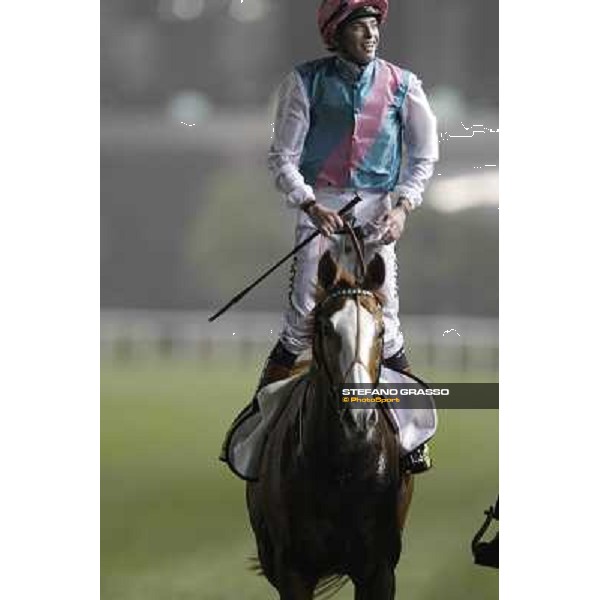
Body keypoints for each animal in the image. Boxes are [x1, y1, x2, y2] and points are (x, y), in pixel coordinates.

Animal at [245, 251, 408, 596]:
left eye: (380, 332)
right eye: (327, 328)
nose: (358, 415)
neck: (342, 468)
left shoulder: (379, 569)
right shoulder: (292, 569)